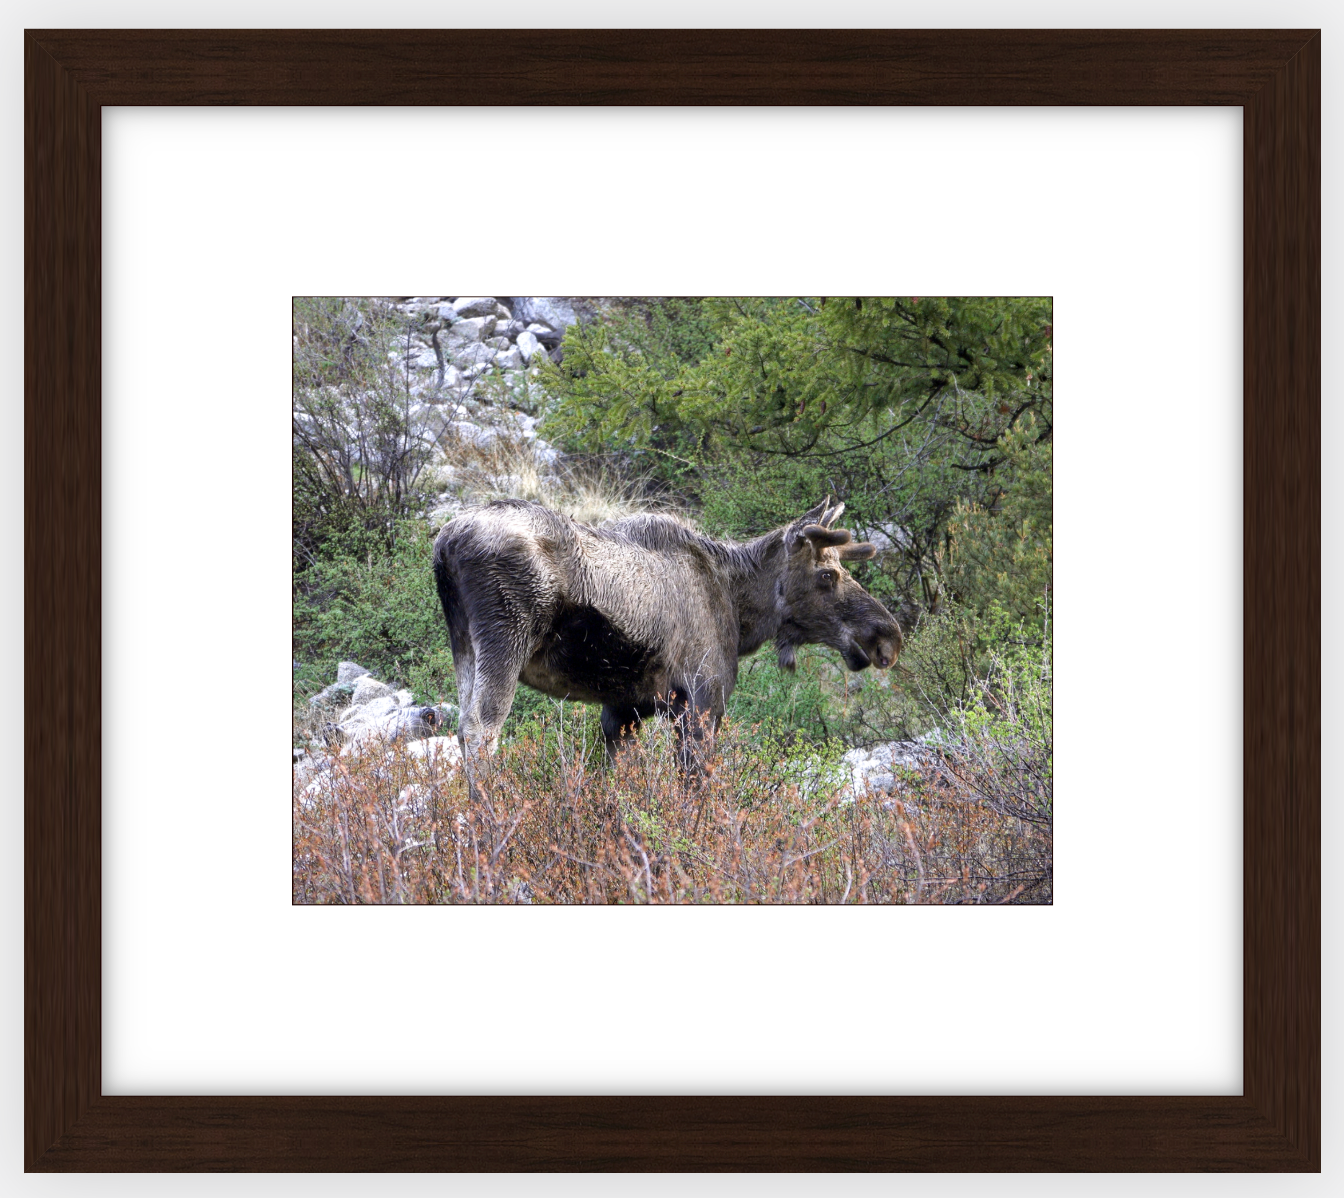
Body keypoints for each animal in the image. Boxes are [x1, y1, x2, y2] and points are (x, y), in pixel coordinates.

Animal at [432, 492, 903, 790]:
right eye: (827, 575)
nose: (887, 637)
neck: (739, 608)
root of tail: (444, 544)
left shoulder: (623, 709)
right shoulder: (702, 698)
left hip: (465, 645)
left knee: (462, 729)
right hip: (505, 638)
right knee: (480, 731)